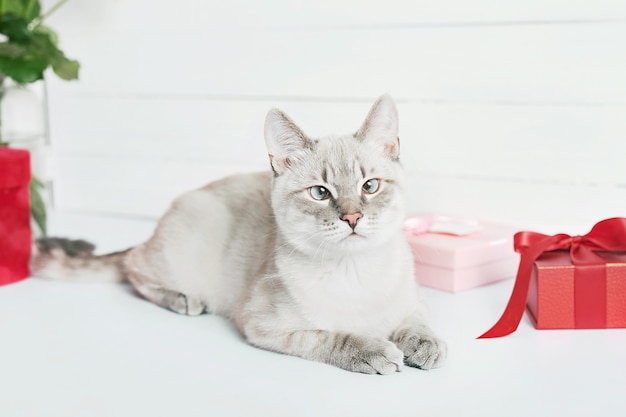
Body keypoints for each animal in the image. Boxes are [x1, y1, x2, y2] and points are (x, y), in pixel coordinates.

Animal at [33, 94, 444, 374]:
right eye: (320, 193)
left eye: (370, 186)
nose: (353, 218)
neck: (356, 271)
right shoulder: (263, 325)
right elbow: (332, 336)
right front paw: (376, 351)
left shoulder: (412, 301)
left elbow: (417, 322)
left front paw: (425, 346)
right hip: (187, 250)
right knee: (132, 265)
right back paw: (183, 300)